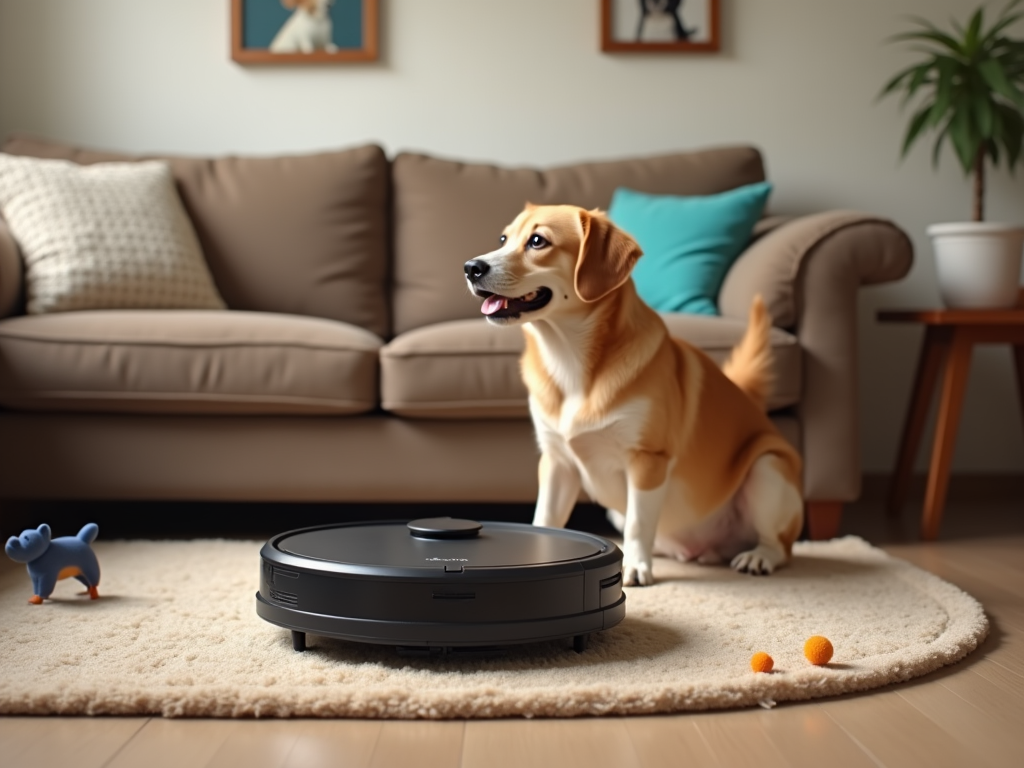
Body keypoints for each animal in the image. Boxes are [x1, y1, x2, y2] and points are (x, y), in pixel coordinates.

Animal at [466, 201, 806, 585]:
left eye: (538, 241)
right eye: (503, 239)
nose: (471, 268)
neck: (570, 360)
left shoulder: (647, 459)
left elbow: (639, 523)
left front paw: (634, 566)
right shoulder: (557, 462)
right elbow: (546, 519)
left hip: (768, 470)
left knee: (779, 546)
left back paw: (756, 557)